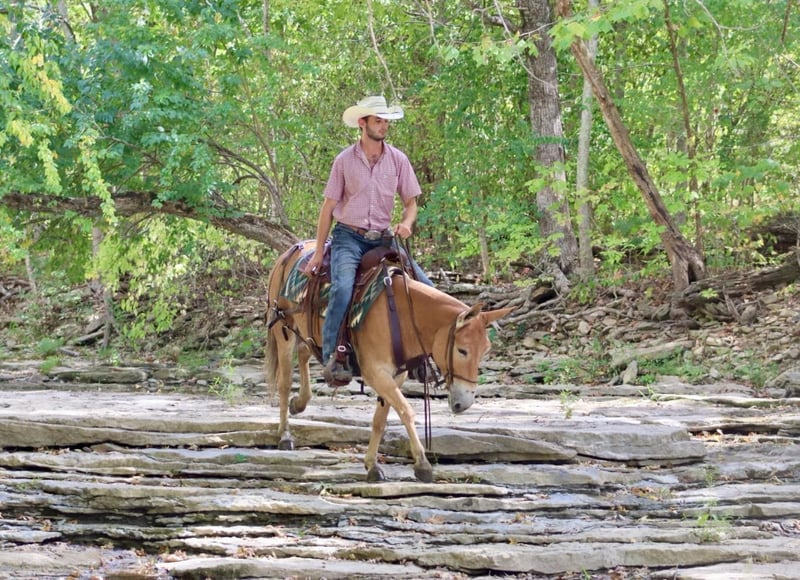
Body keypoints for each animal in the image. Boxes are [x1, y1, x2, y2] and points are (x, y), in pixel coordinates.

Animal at [264, 240, 513, 483]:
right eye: (462, 350)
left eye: (485, 350)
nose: (465, 403)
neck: (402, 314)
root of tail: (289, 252)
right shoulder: (376, 372)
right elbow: (405, 410)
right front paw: (422, 464)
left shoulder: (396, 374)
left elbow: (380, 419)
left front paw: (372, 465)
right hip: (282, 327)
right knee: (285, 382)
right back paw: (285, 434)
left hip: (307, 334)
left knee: (304, 353)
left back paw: (299, 403)